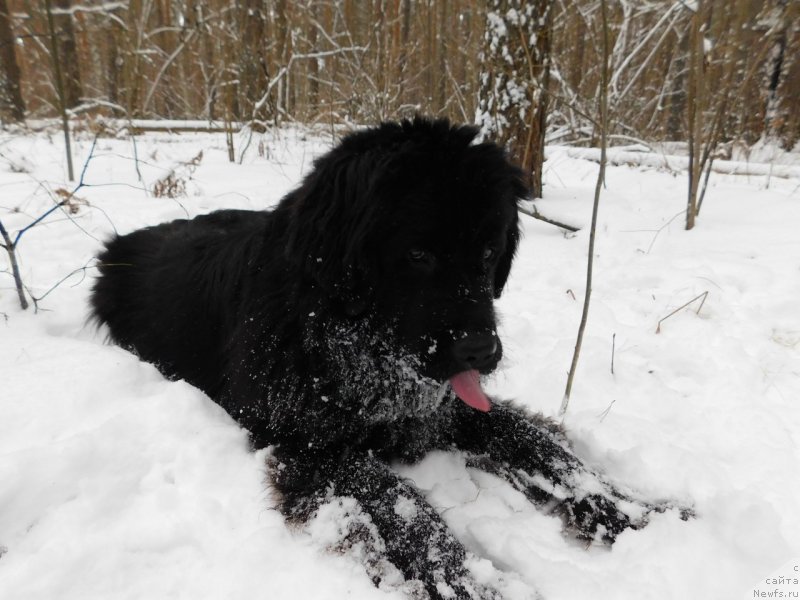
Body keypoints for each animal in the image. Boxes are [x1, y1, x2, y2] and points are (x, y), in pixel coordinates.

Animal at [90, 119, 676, 596]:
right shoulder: (310, 444)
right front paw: (464, 582)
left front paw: (638, 514)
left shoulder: (445, 409)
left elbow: (541, 447)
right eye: (418, 254)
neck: (337, 337)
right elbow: (397, 501)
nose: (483, 351)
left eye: (489, 252)